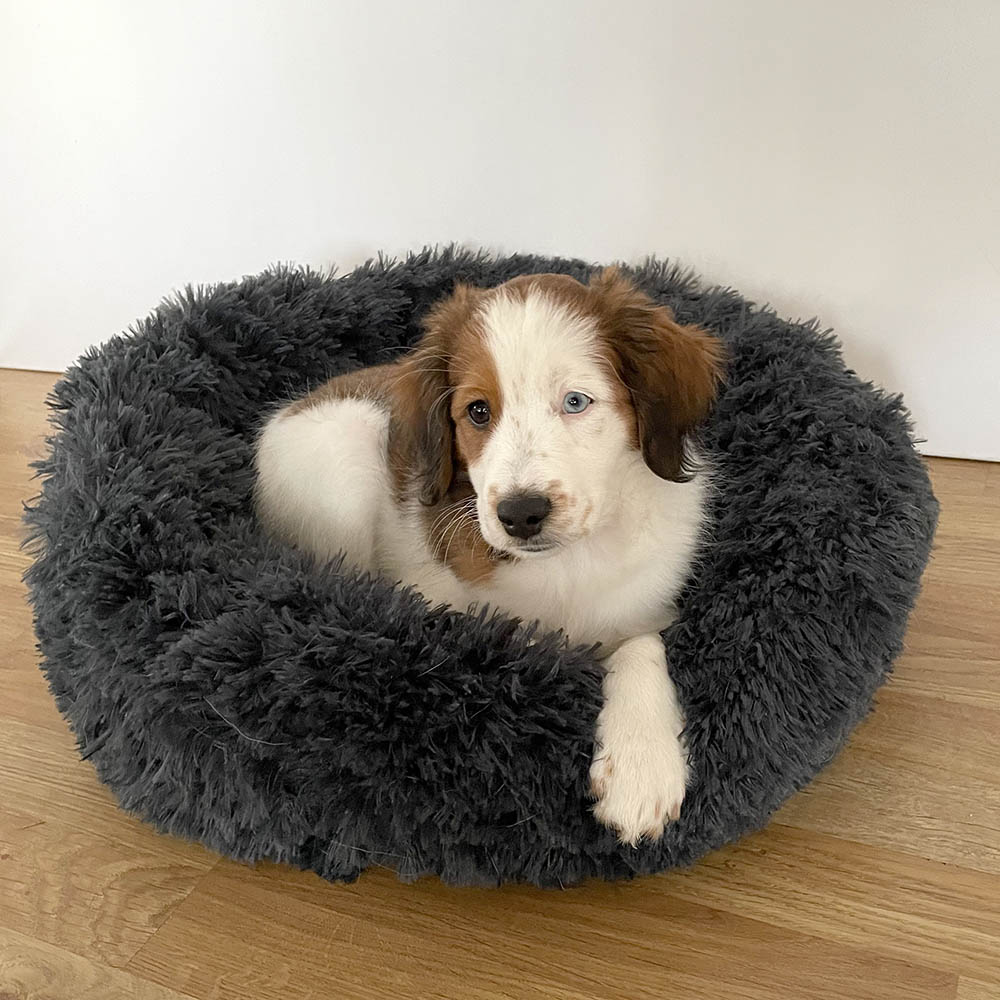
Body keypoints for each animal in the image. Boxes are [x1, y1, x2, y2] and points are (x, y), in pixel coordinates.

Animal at [256, 268, 728, 844]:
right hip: (344, 459)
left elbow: (640, 645)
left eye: (576, 402)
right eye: (478, 411)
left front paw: (642, 764)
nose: (520, 514)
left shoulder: (647, 603)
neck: (570, 560)